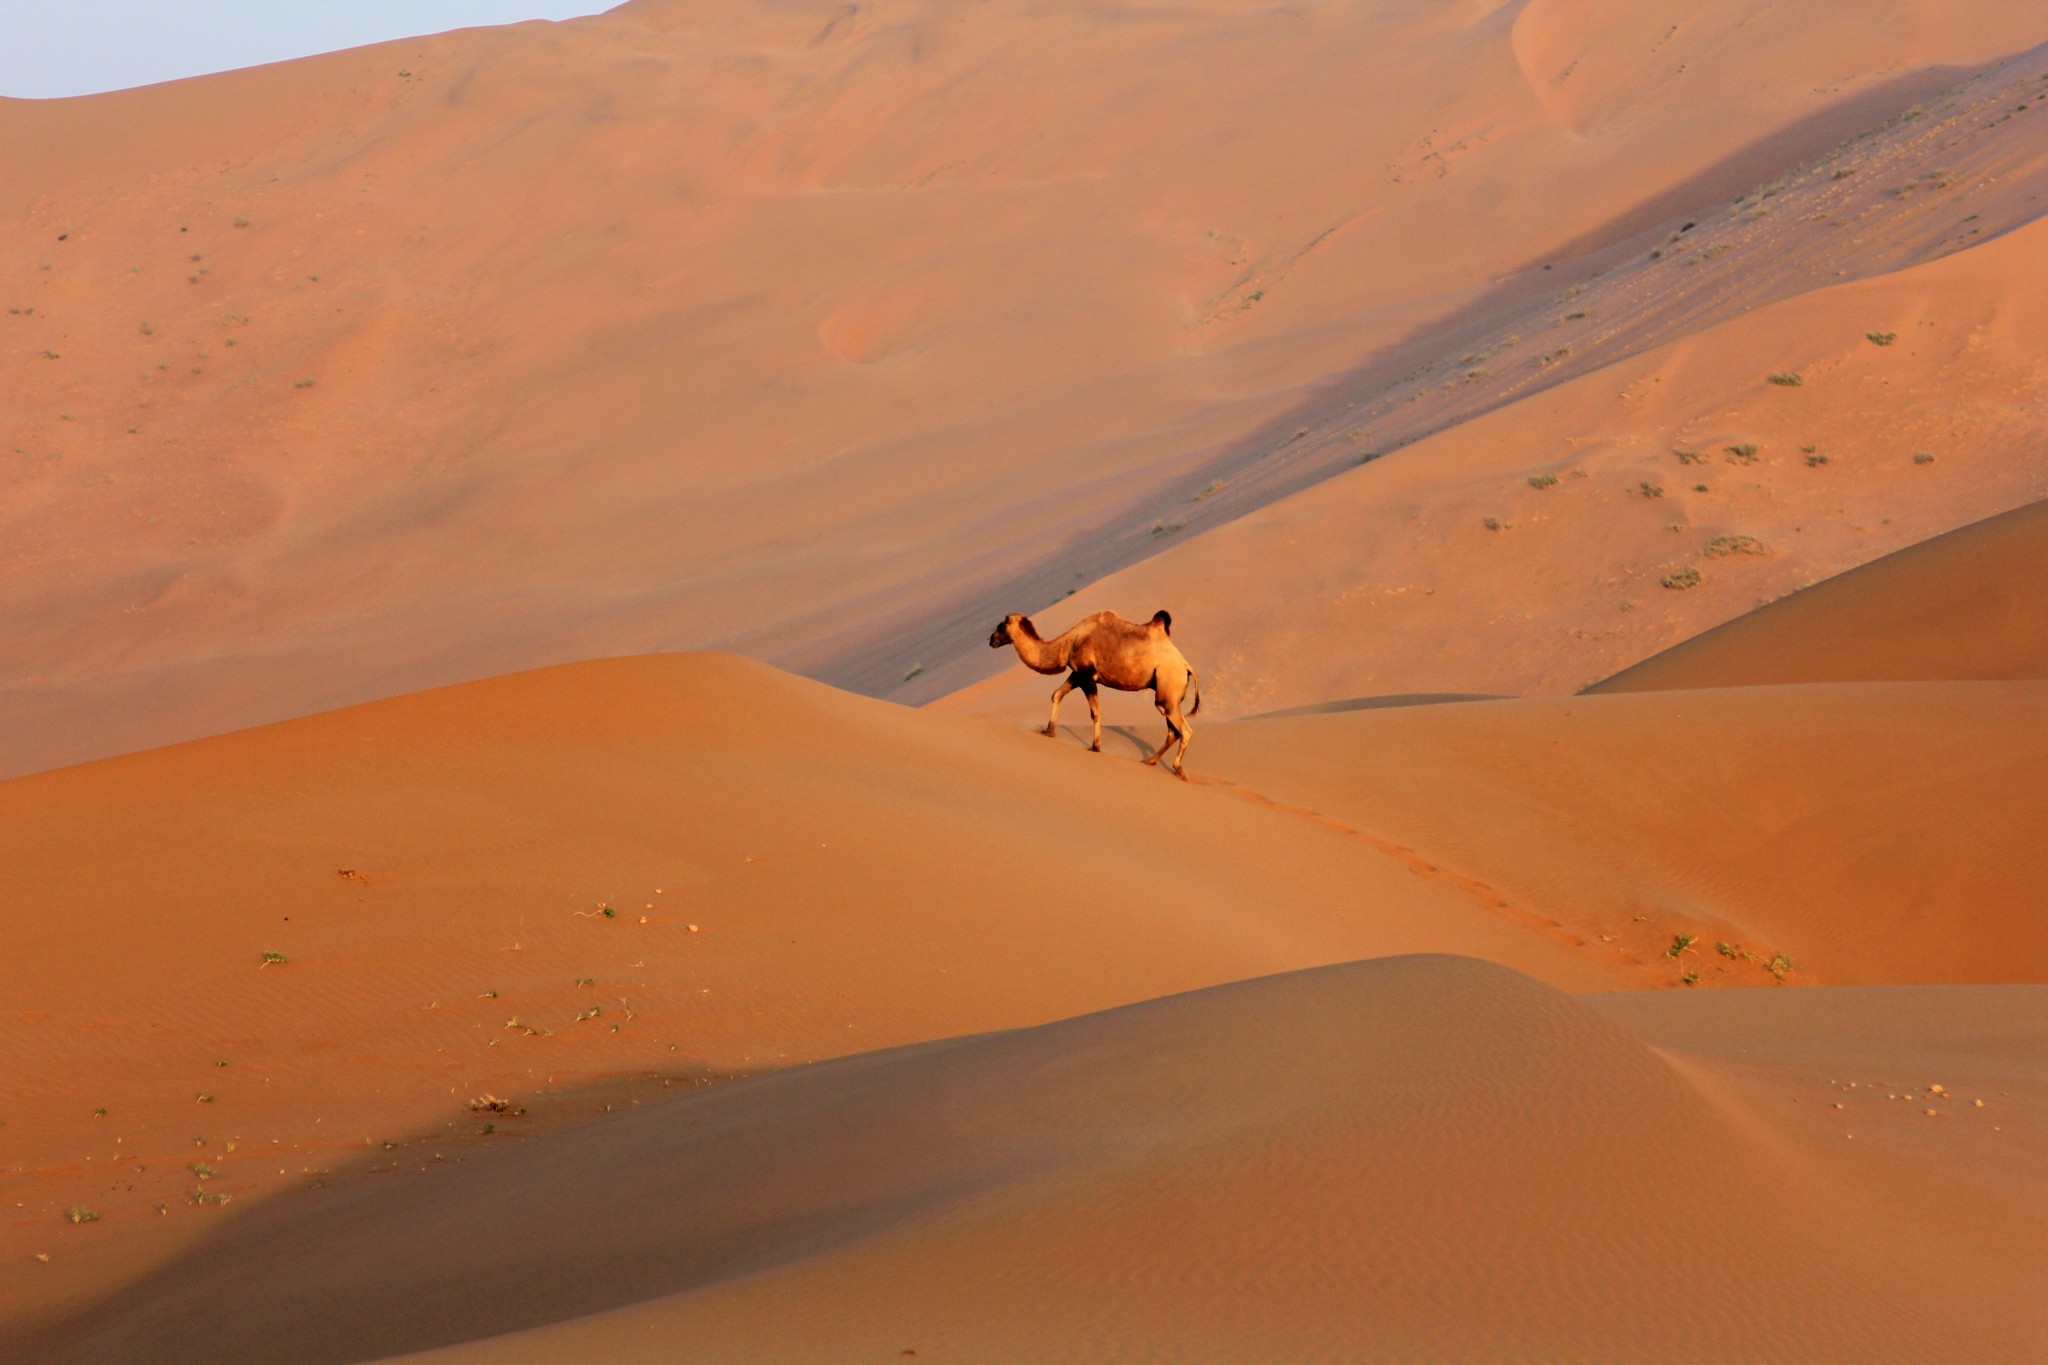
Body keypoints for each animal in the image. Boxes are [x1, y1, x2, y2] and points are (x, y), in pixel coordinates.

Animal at [987, 609, 1196, 777]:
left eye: (1000, 625)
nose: (991, 639)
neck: (1069, 642)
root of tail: (1186, 666)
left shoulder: (1087, 675)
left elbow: (1095, 712)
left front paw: (1095, 746)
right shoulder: (1077, 673)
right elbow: (1057, 694)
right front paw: (1049, 730)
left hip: (1167, 689)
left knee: (1184, 730)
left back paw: (1178, 769)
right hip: (1170, 697)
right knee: (1172, 731)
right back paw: (1149, 761)